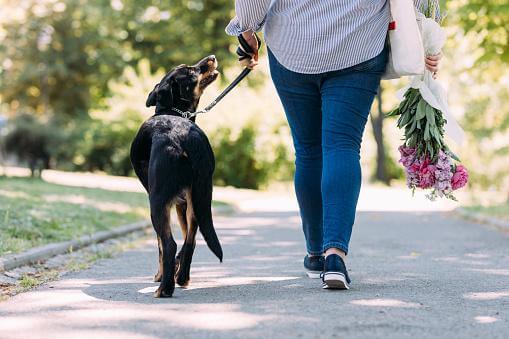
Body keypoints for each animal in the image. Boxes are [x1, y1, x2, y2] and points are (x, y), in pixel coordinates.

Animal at [130, 55, 221, 298]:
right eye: (190, 71)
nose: (211, 57)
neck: (171, 112)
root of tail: (186, 137)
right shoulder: (182, 203)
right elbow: (187, 238)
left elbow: (161, 247)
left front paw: (160, 275)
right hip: (199, 198)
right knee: (190, 241)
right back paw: (182, 278)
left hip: (158, 202)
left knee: (169, 244)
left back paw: (165, 288)